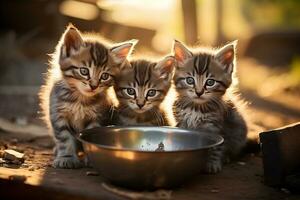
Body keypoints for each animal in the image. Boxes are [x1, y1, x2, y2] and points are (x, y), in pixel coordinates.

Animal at [39, 25, 137, 169]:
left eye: (104, 76)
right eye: (84, 71)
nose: (94, 86)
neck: (80, 99)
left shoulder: (98, 118)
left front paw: (90, 158)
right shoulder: (58, 115)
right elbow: (64, 138)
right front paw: (66, 157)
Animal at [172, 39, 247, 173]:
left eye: (210, 82)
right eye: (190, 80)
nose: (199, 92)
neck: (195, 108)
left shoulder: (217, 128)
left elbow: (217, 148)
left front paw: (213, 163)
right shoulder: (182, 123)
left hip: (239, 130)